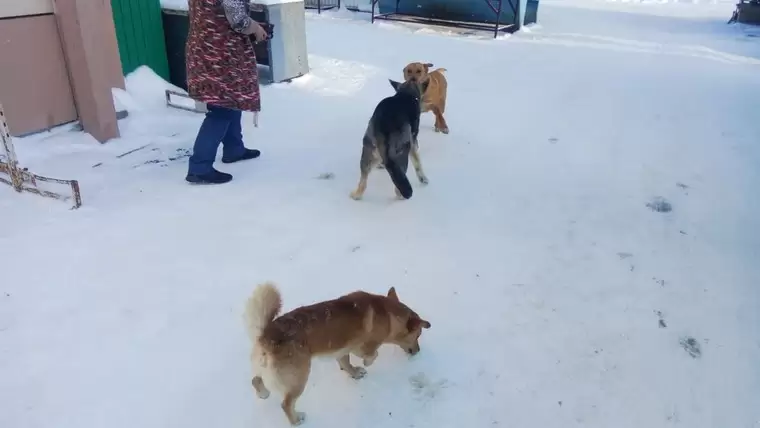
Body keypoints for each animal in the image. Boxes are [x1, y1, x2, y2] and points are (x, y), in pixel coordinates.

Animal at [245, 282, 430, 426]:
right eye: (418, 335)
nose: (418, 351)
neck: (388, 314)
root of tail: (266, 335)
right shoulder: (361, 347)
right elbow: (372, 355)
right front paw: (366, 364)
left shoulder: (342, 350)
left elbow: (346, 363)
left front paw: (355, 373)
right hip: (299, 377)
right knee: (286, 404)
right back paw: (296, 420)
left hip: (268, 371)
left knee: (255, 380)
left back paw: (263, 394)